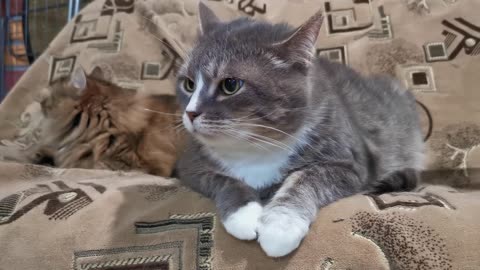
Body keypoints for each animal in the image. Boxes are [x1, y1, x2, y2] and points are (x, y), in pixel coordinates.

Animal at [174, 3, 422, 258]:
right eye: (188, 84)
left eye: (230, 85)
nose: (190, 113)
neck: (256, 145)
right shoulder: (190, 165)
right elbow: (223, 180)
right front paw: (243, 215)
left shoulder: (350, 165)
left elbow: (306, 178)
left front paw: (281, 226)